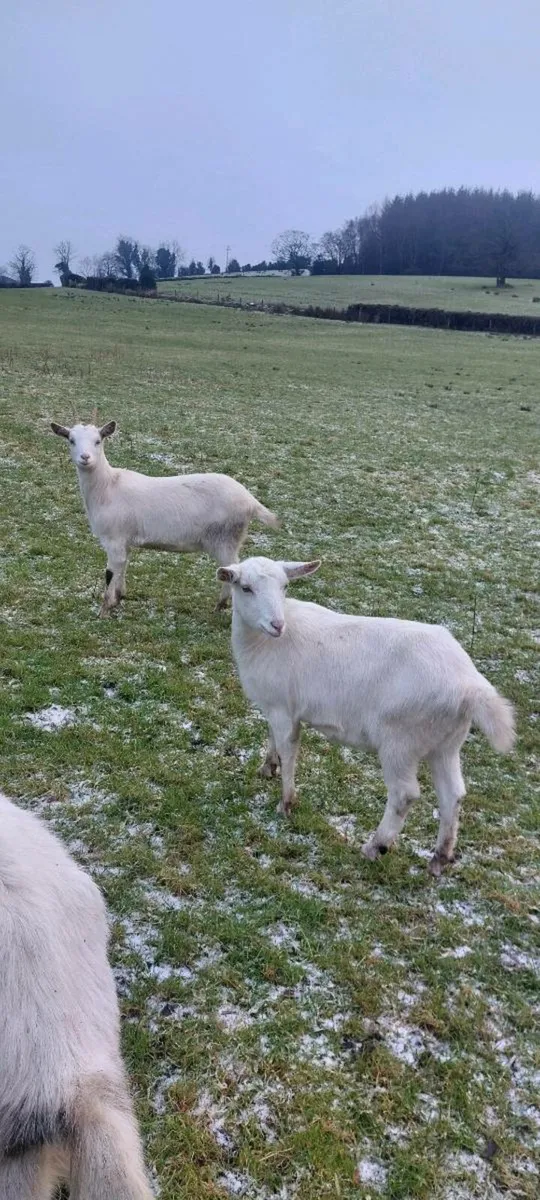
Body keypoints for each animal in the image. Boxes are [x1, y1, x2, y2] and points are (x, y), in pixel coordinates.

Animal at [51, 421, 278, 615]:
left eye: (98, 440)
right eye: (71, 440)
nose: (85, 457)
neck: (107, 486)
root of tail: (250, 501)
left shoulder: (113, 539)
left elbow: (110, 572)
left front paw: (104, 610)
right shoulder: (124, 540)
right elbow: (123, 567)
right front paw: (119, 598)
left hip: (225, 538)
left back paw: (220, 605)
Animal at [217, 556, 516, 875]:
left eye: (285, 586)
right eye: (245, 588)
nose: (277, 625)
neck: (262, 643)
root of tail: (470, 686)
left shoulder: (284, 710)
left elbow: (288, 753)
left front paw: (285, 804)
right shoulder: (273, 707)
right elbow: (271, 738)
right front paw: (266, 768)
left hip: (401, 740)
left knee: (404, 794)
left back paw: (375, 847)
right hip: (445, 742)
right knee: (453, 795)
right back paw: (440, 857)